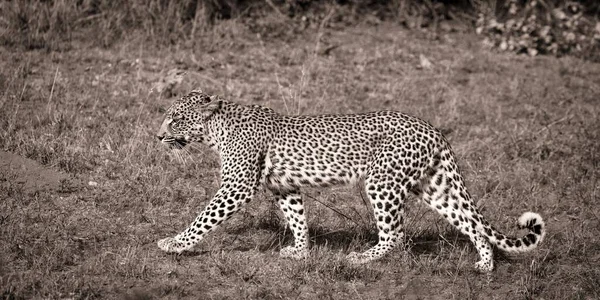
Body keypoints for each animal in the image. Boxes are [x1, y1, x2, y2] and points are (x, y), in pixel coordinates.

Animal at [154, 89, 544, 272]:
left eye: (175, 119)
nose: (157, 136)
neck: (216, 130)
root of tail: (432, 128)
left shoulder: (238, 185)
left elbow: (204, 218)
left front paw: (174, 243)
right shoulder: (284, 186)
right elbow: (297, 218)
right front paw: (300, 251)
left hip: (382, 183)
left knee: (395, 234)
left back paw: (360, 258)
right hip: (434, 186)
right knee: (472, 223)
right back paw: (485, 266)